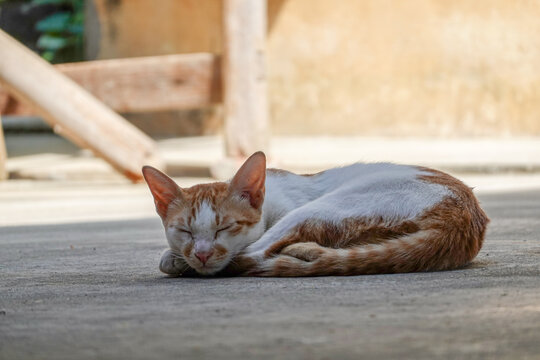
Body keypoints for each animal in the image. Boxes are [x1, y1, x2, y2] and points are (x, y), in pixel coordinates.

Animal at [141, 150, 488, 278]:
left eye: (224, 228)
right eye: (184, 231)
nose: (201, 254)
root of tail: (464, 215)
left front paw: (183, 263)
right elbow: (169, 255)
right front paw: (177, 258)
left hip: (329, 205)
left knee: (254, 254)